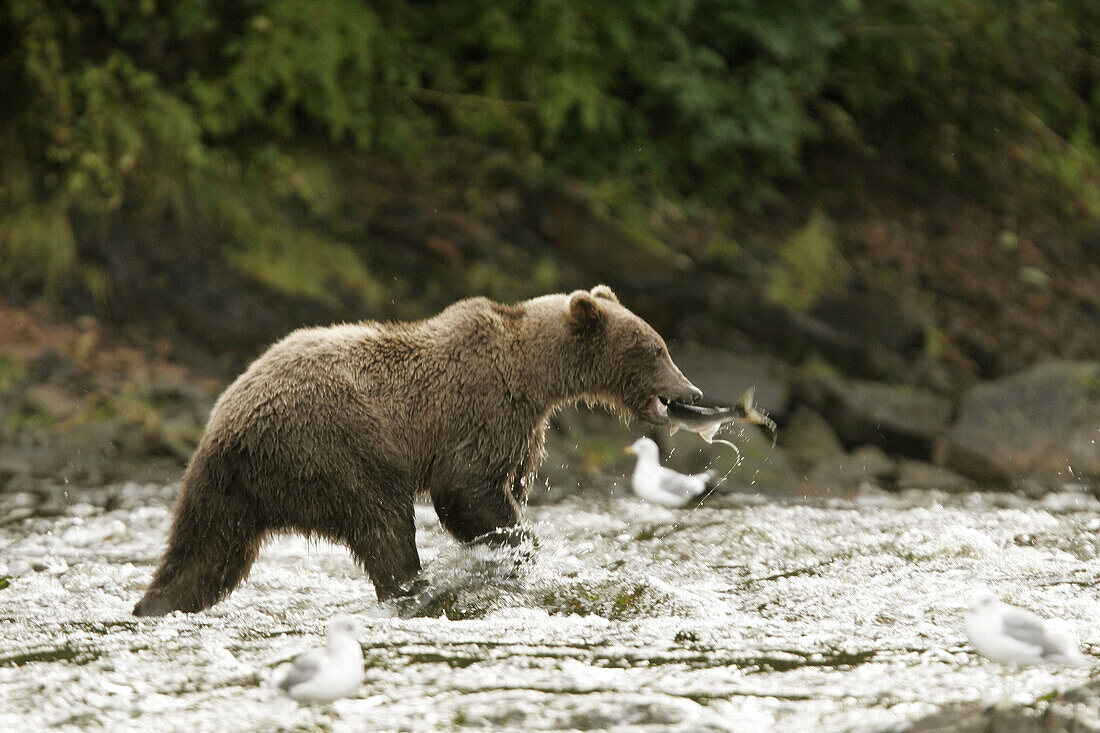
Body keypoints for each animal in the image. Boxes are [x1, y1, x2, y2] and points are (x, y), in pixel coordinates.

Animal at [133, 281, 699, 611]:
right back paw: (415, 589)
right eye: (655, 348)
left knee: (205, 553)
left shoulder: (522, 431)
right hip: (335, 444)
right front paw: (517, 549)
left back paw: (155, 603)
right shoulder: (480, 408)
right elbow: (465, 490)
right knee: (383, 523)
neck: (535, 378)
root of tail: (226, 424)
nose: (690, 391)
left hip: (227, 488)